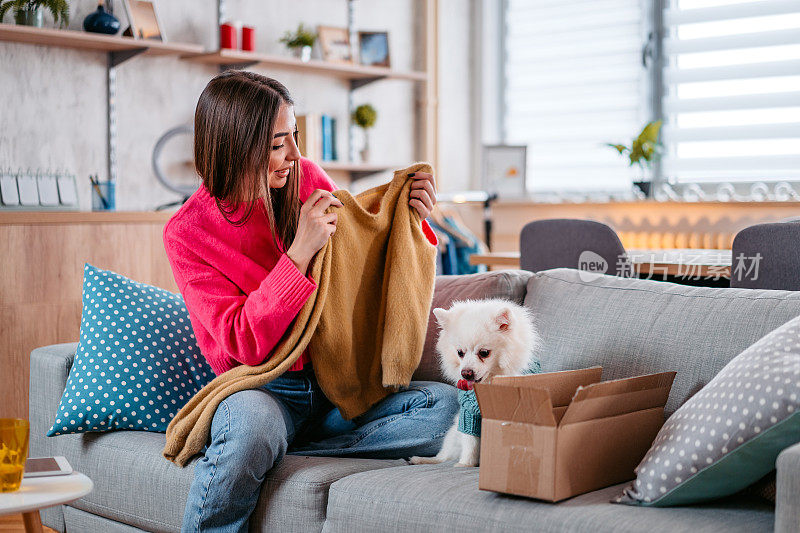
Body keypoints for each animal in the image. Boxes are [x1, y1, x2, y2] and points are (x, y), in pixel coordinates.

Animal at [412, 298, 536, 468]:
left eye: (484, 353)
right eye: (460, 353)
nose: (466, 373)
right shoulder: (468, 414)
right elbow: (470, 442)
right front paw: (465, 464)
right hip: (454, 434)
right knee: (444, 456)